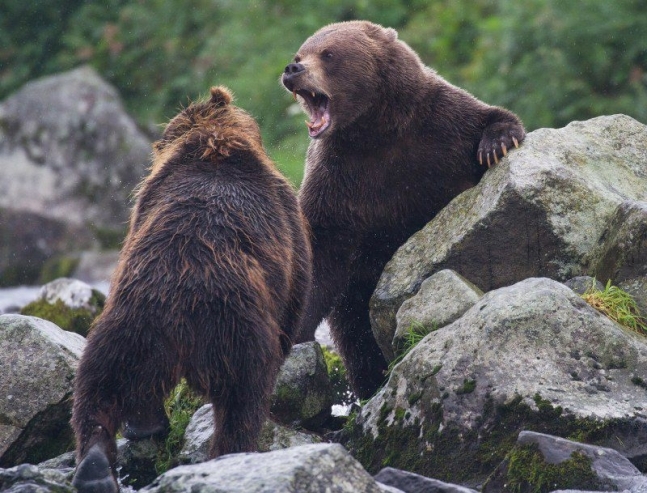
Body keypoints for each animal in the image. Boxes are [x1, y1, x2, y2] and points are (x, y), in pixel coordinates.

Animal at [72, 86, 312, 490]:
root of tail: (184, 303)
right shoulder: (290, 223)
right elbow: (295, 307)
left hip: (129, 322)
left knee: (98, 386)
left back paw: (99, 465)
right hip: (239, 332)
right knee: (242, 405)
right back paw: (229, 456)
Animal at [284, 20, 528, 400]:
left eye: (328, 53)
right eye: (300, 53)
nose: (292, 70)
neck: (373, 131)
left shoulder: (436, 129)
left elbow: (487, 117)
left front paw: (497, 143)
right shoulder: (338, 180)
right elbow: (319, 252)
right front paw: (296, 336)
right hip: (355, 295)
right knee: (358, 339)